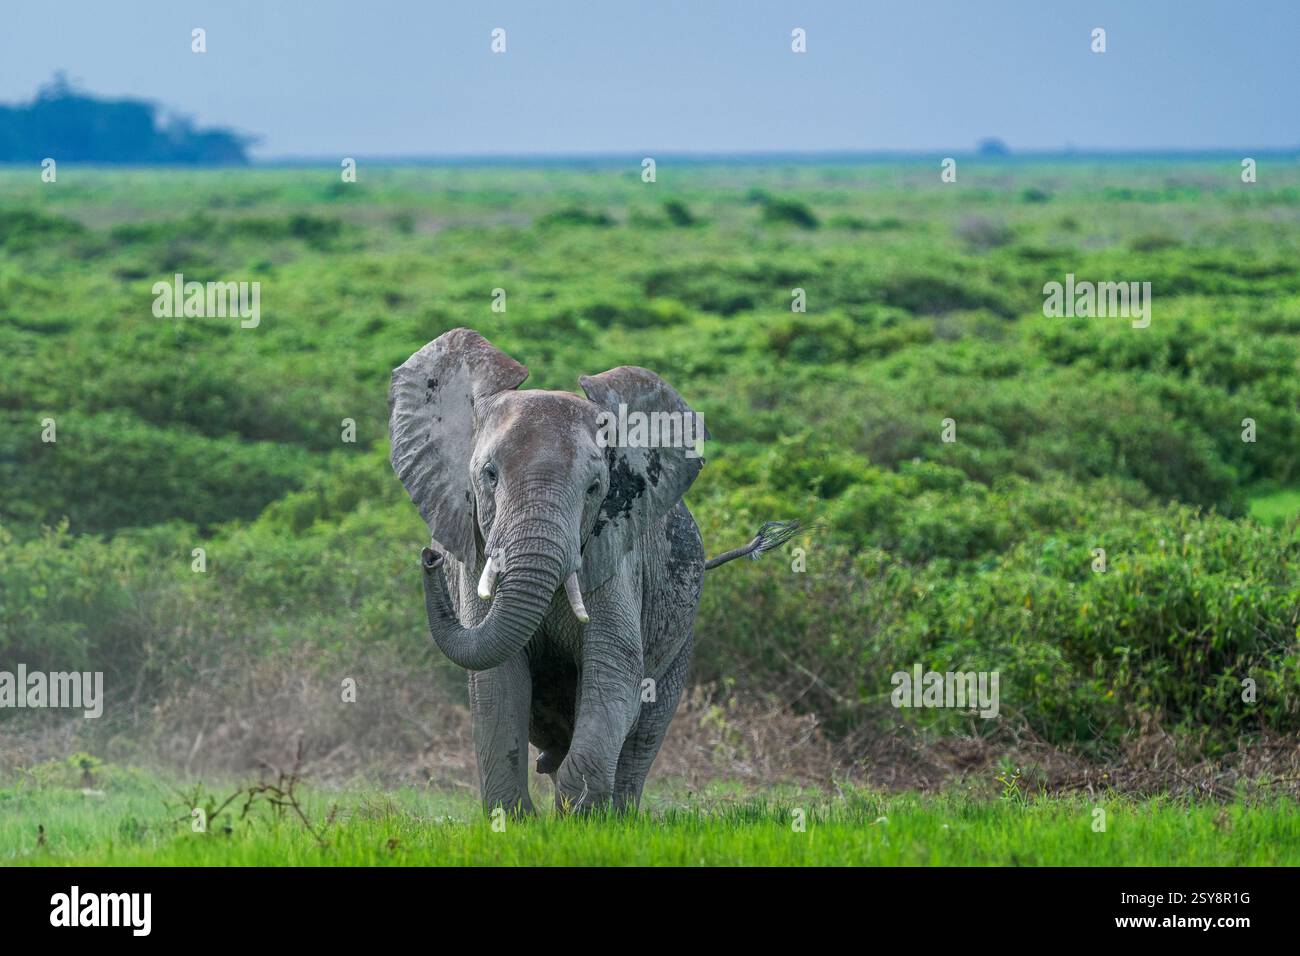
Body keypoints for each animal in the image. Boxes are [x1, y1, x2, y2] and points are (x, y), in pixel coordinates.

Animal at [389, 328, 796, 814]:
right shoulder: (475, 552)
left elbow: (615, 666)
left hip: (682, 635)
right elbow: (496, 680)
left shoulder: (615, 555)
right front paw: (516, 820)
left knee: (643, 733)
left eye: (595, 488)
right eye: (489, 475)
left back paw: (618, 814)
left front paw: (580, 814)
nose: (428, 559)